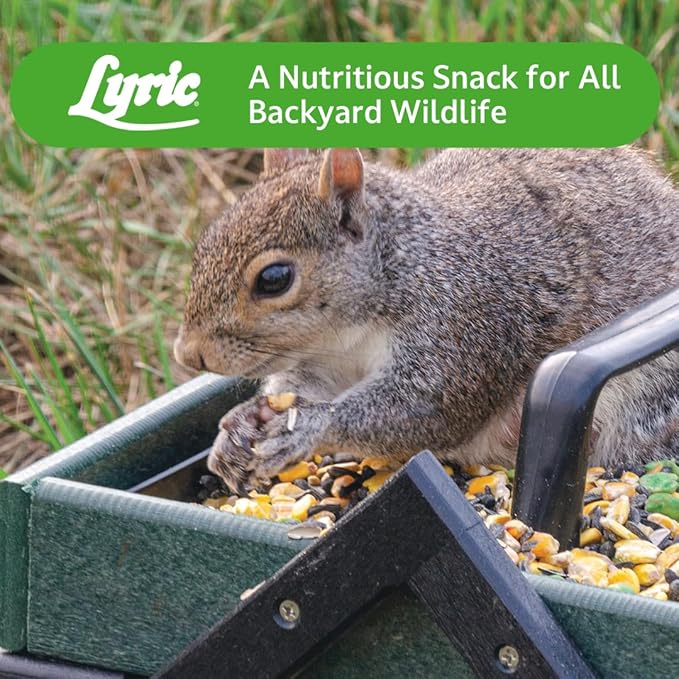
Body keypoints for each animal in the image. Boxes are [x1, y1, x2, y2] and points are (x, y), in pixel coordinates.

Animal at [174, 147, 679, 492]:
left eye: (274, 279)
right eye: (205, 245)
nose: (188, 355)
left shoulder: (466, 326)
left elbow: (424, 411)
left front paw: (306, 427)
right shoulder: (325, 362)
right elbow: (302, 387)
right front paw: (238, 428)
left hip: (648, 402)